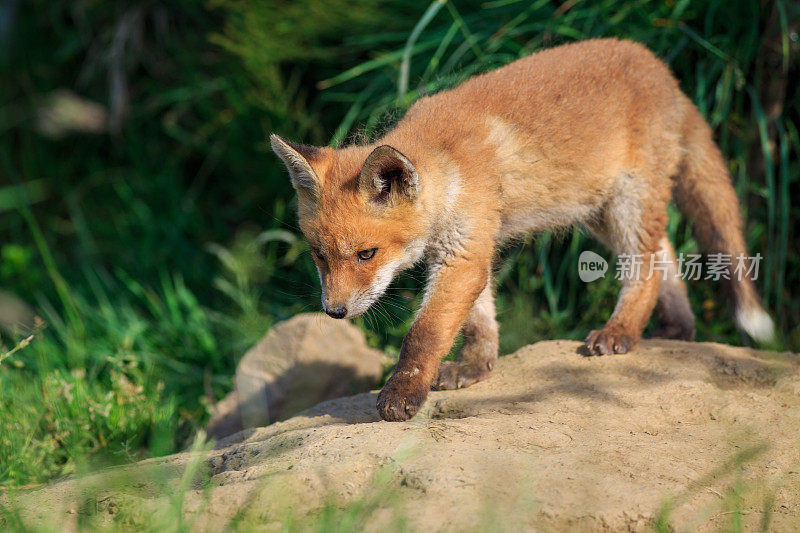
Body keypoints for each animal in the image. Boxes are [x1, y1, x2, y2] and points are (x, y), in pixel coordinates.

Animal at [270, 38, 776, 420]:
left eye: (366, 254)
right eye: (319, 256)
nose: (334, 312)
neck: (448, 168)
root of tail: (662, 68)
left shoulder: (465, 251)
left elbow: (425, 332)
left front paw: (403, 393)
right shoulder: (463, 250)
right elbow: (479, 321)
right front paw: (475, 368)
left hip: (628, 202)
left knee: (647, 265)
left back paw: (622, 330)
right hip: (599, 211)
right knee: (665, 250)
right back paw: (676, 328)